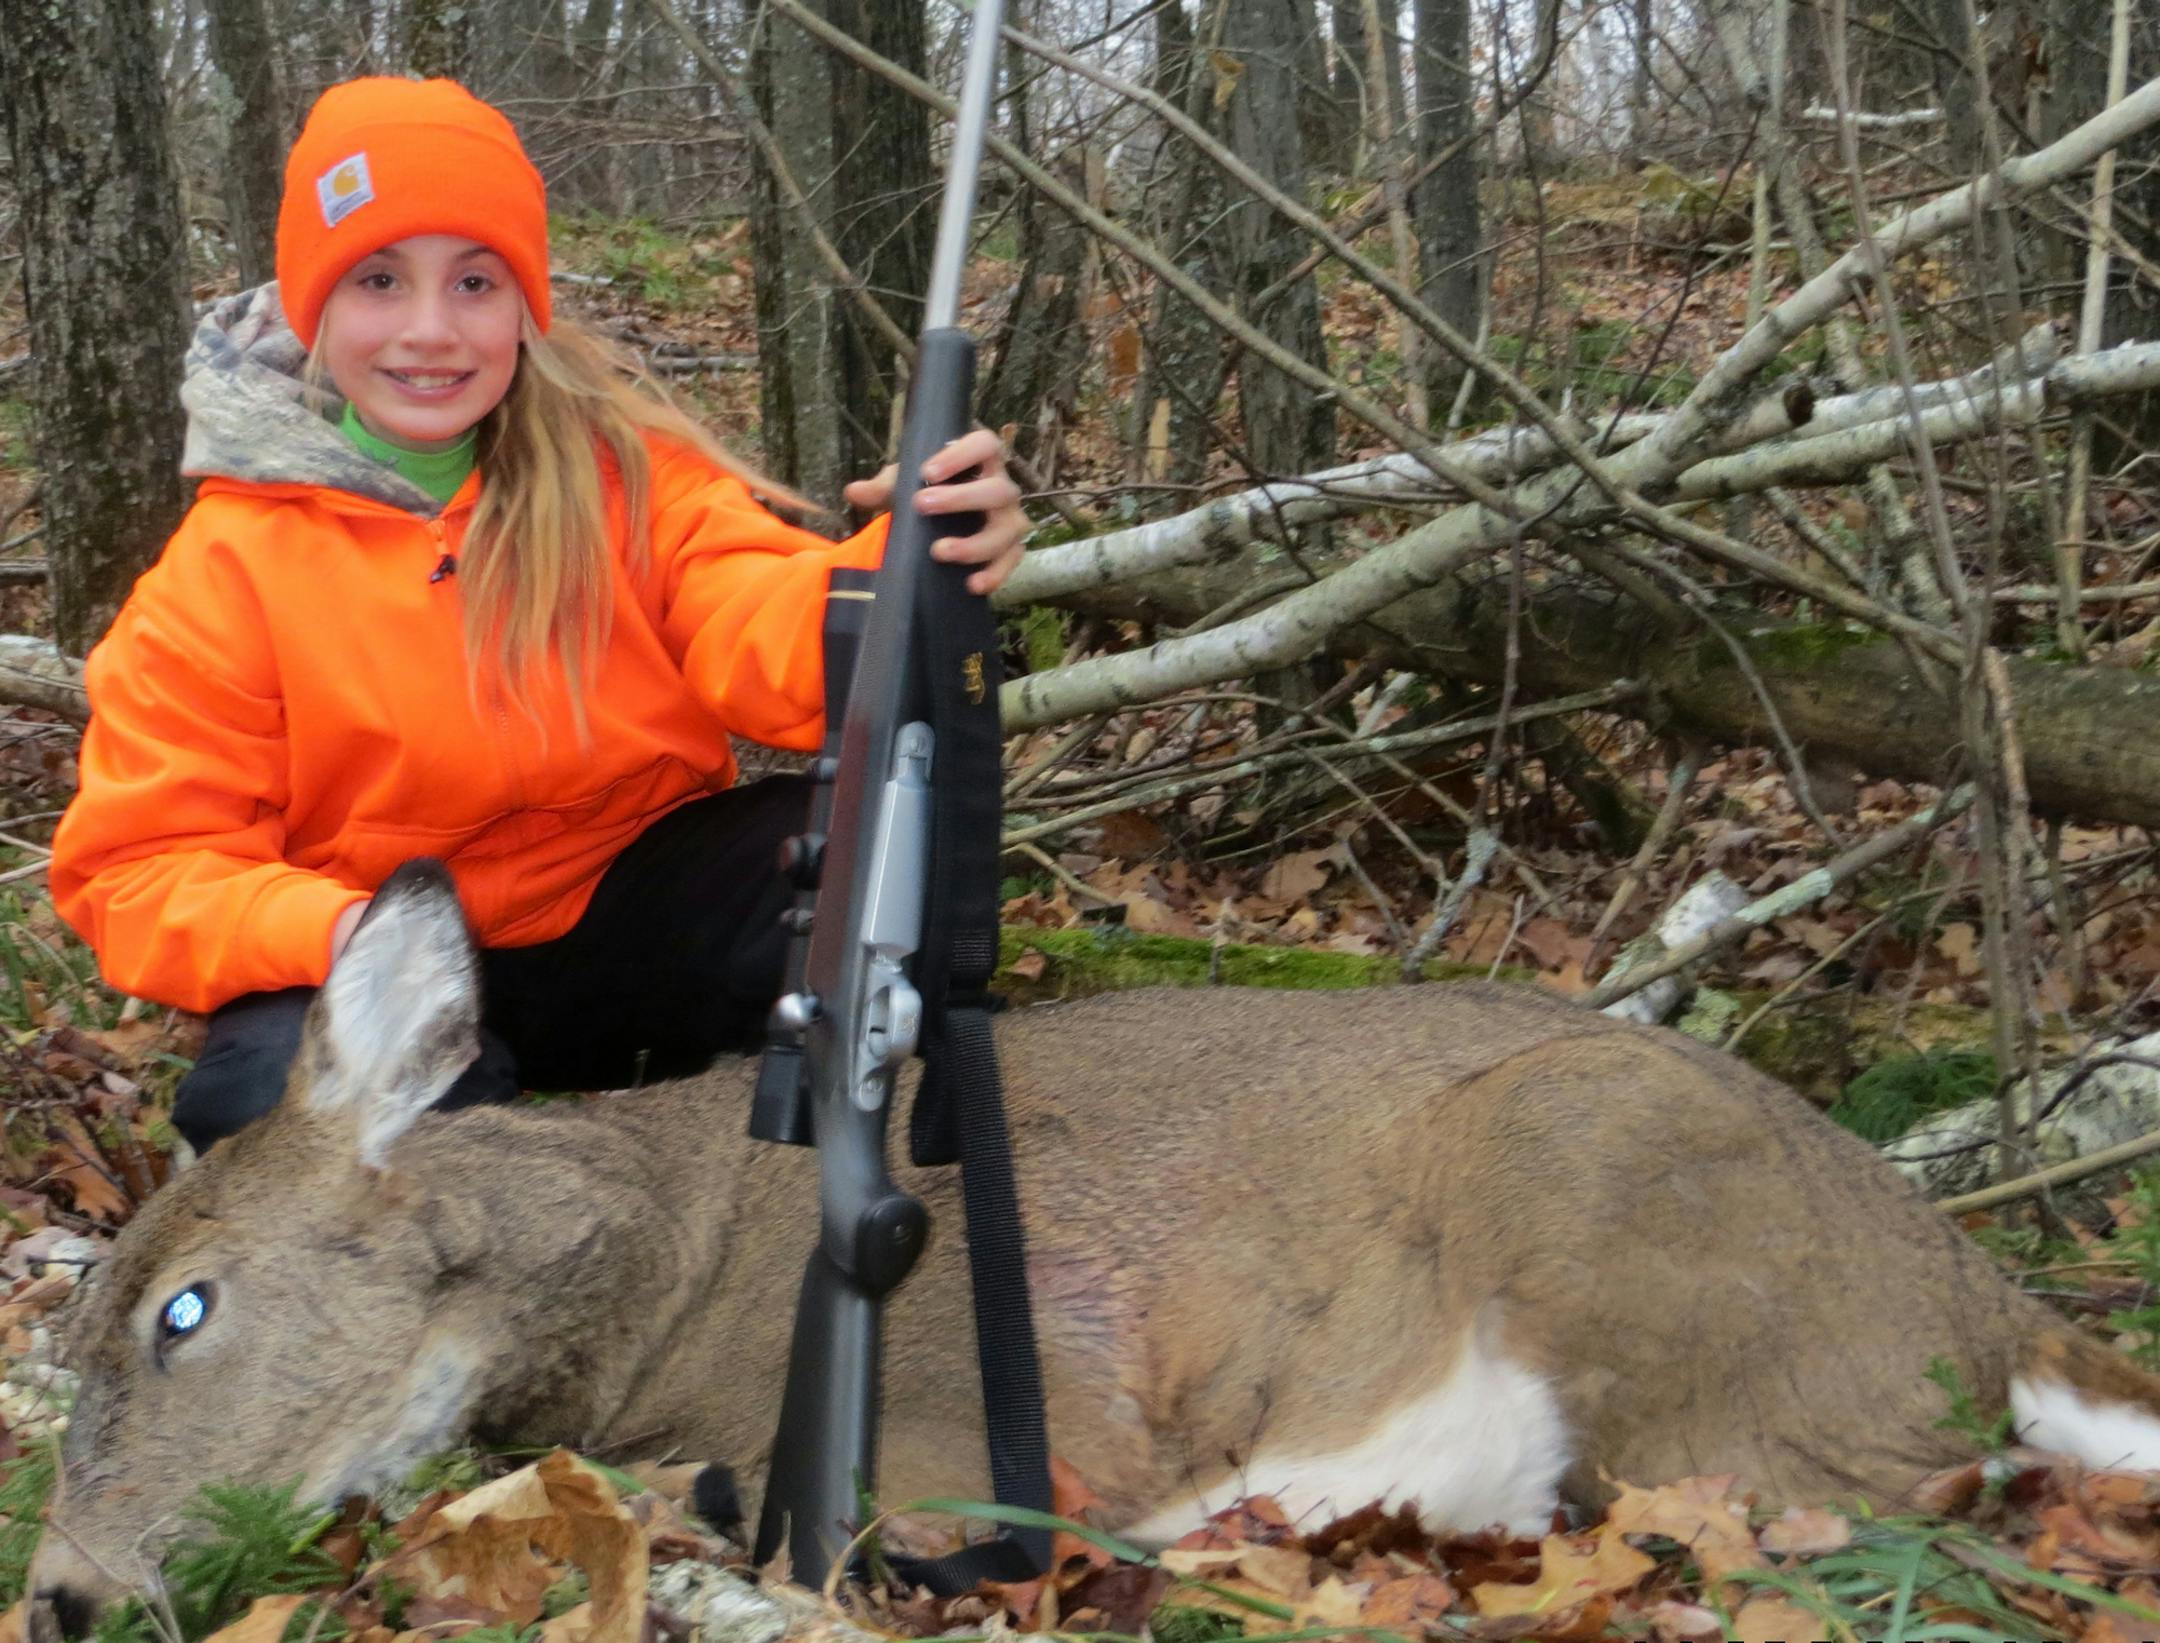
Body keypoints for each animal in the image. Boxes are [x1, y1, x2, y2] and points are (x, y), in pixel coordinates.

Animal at [29, 861, 2160, 1629]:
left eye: (186, 1304)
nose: (53, 1594)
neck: (651, 1270)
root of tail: (1982, 1286)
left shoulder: (981, 1421)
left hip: (1611, 1181)